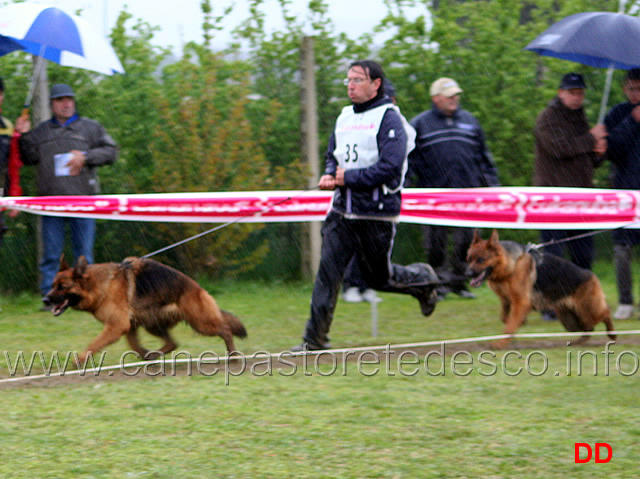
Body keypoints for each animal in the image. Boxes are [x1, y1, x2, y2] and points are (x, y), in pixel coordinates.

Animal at [43, 255, 248, 364]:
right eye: (53, 285)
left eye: (62, 287)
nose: (45, 300)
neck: (100, 285)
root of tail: (199, 289)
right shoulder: (129, 326)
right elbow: (133, 344)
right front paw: (144, 354)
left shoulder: (117, 325)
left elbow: (95, 343)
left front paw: (80, 359)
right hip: (152, 323)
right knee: (173, 343)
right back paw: (154, 355)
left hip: (200, 323)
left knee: (225, 330)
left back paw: (233, 355)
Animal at [464, 230, 616, 348]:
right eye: (469, 259)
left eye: (481, 260)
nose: (468, 274)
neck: (510, 265)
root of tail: (592, 275)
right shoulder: (507, 301)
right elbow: (506, 319)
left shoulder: (520, 302)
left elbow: (509, 325)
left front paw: (500, 343)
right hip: (571, 321)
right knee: (589, 328)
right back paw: (579, 342)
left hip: (587, 310)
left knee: (605, 313)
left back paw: (612, 334)